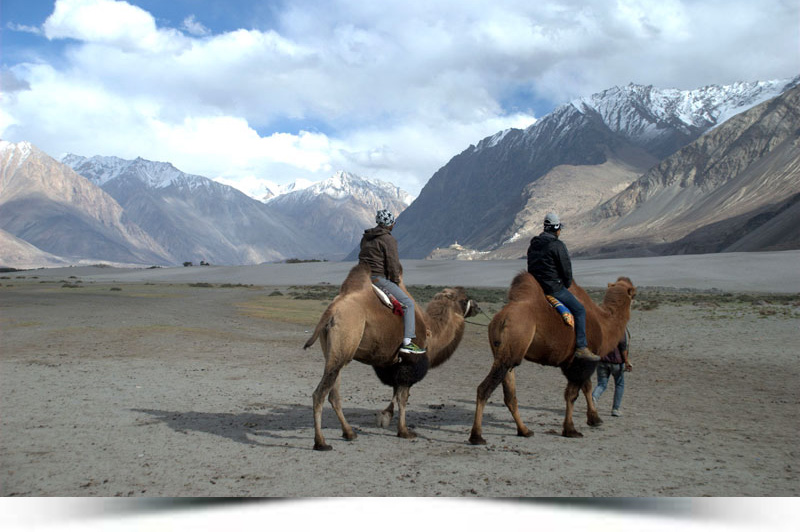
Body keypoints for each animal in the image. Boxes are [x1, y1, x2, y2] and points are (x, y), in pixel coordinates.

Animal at [304, 262, 478, 448]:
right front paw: (403, 431)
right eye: (464, 299)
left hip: (334, 353)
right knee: (319, 394)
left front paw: (386, 416)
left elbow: (396, 391)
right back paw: (321, 442)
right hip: (344, 340)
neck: (432, 332)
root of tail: (331, 311)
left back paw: (349, 433)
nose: (477, 307)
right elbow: (403, 397)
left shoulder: (391, 364)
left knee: (333, 394)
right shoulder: (410, 363)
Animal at [466, 272, 636, 442]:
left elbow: (586, 387)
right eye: (633, 293)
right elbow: (572, 395)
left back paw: (524, 430)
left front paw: (595, 419)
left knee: (510, 395)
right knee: (484, 389)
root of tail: (500, 319)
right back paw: (477, 436)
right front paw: (571, 430)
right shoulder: (581, 361)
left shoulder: (574, 363)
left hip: (506, 355)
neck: (604, 324)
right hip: (511, 348)